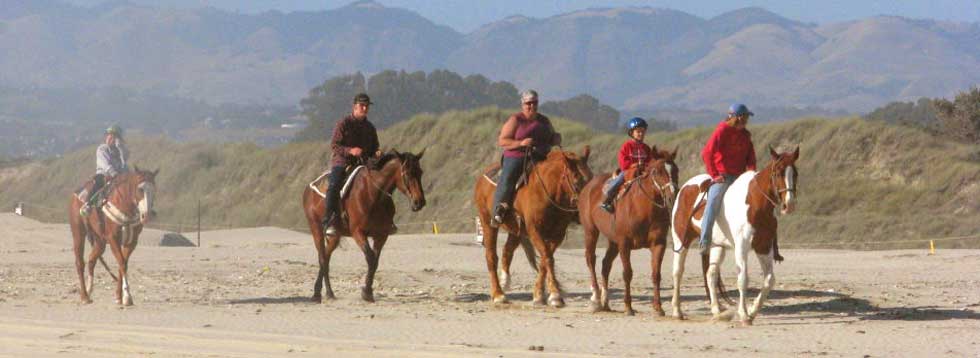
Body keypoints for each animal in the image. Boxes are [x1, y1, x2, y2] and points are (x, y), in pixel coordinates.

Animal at [69, 167, 158, 304]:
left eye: (154, 189)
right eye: (140, 189)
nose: (146, 215)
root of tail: (77, 195)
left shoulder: (131, 242)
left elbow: (123, 264)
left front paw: (119, 296)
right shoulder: (113, 239)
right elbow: (122, 263)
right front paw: (127, 297)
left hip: (100, 241)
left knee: (91, 260)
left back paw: (89, 290)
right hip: (78, 234)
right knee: (80, 263)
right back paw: (84, 296)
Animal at [302, 148, 424, 302]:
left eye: (420, 172)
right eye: (407, 173)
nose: (419, 202)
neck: (373, 194)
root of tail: (308, 188)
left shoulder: (381, 235)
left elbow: (375, 262)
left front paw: (368, 291)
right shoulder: (358, 232)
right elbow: (370, 258)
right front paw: (366, 292)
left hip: (335, 235)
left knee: (327, 257)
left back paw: (328, 292)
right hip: (316, 228)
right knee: (322, 258)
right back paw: (317, 294)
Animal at [472, 147, 592, 306]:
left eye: (591, 178)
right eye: (576, 181)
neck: (547, 191)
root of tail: (482, 177)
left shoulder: (557, 234)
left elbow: (544, 260)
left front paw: (539, 294)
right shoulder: (535, 231)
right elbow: (548, 258)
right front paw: (555, 295)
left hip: (516, 230)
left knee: (507, 250)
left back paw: (505, 281)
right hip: (487, 223)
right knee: (491, 256)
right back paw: (498, 294)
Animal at [580, 148, 676, 316]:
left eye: (676, 170)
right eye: (657, 171)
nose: (672, 196)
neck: (644, 209)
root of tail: (588, 187)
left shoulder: (659, 244)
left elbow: (656, 274)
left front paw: (658, 307)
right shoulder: (624, 244)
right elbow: (627, 274)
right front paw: (628, 307)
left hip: (613, 241)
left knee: (605, 264)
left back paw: (605, 302)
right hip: (591, 232)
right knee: (591, 259)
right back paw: (596, 298)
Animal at [668, 147, 800, 326]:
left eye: (795, 173)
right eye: (778, 172)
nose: (789, 205)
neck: (755, 203)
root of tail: (684, 188)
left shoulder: (763, 247)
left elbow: (769, 280)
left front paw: (752, 310)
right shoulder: (742, 246)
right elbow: (743, 279)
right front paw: (744, 315)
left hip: (717, 247)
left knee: (711, 274)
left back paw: (717, 311)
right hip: (681, 240)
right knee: (678, 272)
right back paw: (677, 311)